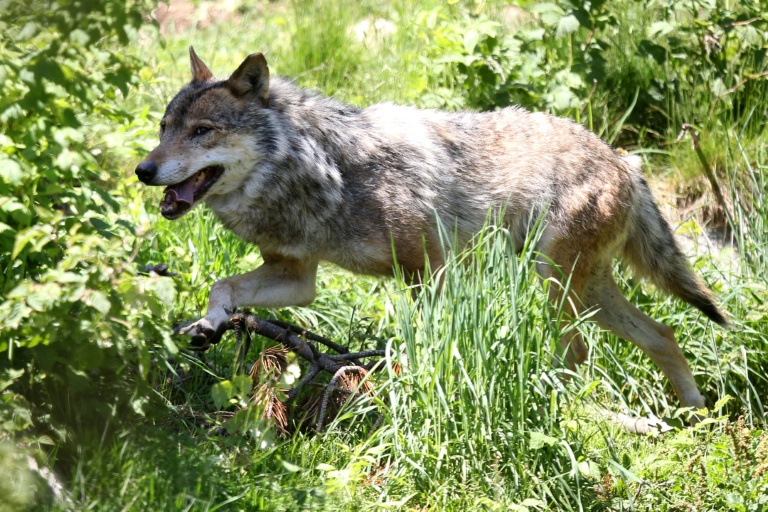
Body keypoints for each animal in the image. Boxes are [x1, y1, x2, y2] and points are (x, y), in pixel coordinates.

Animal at [135, 48, 728, 412]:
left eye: (202, 131)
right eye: (164, 129)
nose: (143, 170)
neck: (323, 170)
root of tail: (625, 161)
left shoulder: (431, 271)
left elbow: (425, 343)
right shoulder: (299, 278)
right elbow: (223, 287)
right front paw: (209, 325)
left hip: (557, 287)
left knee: (582, 353)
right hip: (586, 291)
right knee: (664, 334)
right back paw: (695, 416)